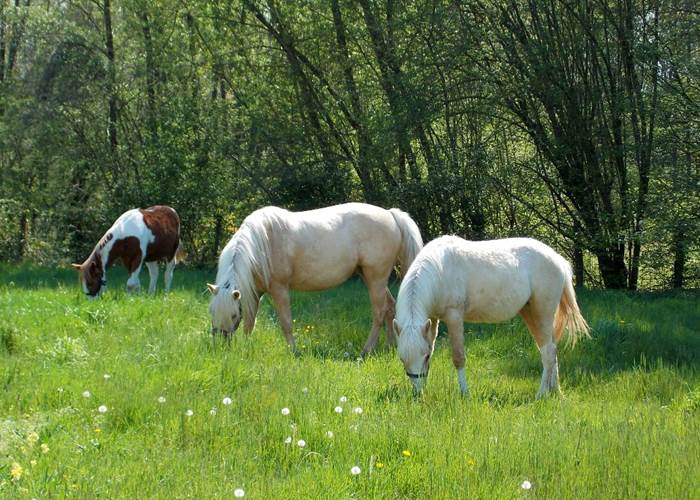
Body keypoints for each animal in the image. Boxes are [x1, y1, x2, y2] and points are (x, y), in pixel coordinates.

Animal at [207, 203, 423, 355]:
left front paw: (294, 352)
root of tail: (390, 214)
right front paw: (246, 347)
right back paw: (389, 346)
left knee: (379, 313)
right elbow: (250, 323)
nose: (221, 345)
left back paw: (366, 350)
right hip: (371, 278)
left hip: (376, 278)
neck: (262, 243)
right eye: (212, 312)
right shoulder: (254, 292)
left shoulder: (279, 289)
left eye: (233, 315)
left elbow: (286, 322)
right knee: (390, 307)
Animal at [393, 235, 589, 399]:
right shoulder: (433, 319)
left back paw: (540, 394)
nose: (418, 393)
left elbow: (458, 357)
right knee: (550, 350)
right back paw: (555, 391)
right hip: (531, 314)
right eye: (402, 359)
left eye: (424, 356)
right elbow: (432, 346)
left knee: (548, 353)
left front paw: (465, 393)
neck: (439, 270)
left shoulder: (454, 316)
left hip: (543, 312)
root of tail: (557, 259)